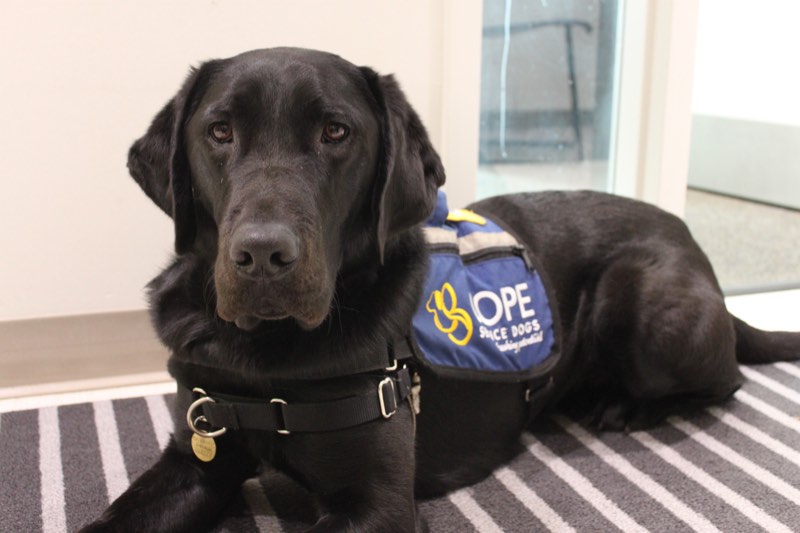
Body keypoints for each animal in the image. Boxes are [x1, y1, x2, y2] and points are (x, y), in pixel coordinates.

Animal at [81, 47, 800, 528]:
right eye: (220, 131)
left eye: (336, 132)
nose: (263, 255)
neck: (263, 357)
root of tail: (692, 243)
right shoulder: (196, 455)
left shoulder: (379, 504)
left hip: (644, 306)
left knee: (727, 379)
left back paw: (626, 406)